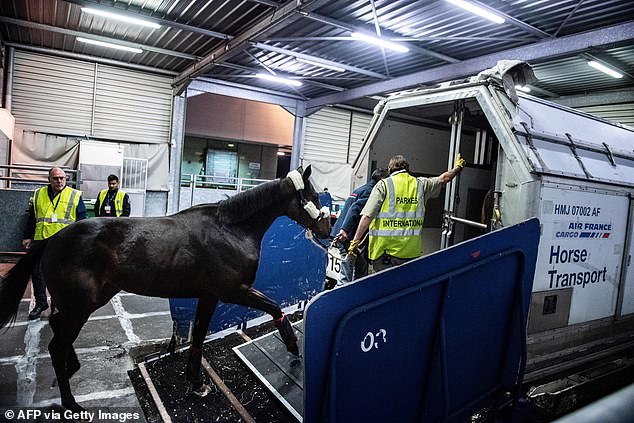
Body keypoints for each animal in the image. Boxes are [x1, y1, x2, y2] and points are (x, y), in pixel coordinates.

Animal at [0, 166, 326, 410]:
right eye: (311, 195)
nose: (327, 227)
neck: (230, 230)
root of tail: (50, 240)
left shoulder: (209, 295)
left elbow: (198, 337)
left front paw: (196, 383)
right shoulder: (234, 290)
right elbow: (273, 306)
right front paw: (292, 345)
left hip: (85, 301)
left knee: (58, 329)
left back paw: (71, 368)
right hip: (79, 305)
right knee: (56, 345)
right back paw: (70, 402)